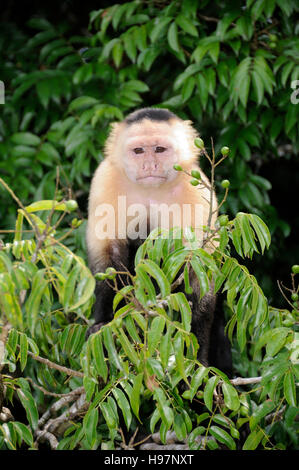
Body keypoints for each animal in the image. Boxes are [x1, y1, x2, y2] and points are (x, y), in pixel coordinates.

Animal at [86, 107, 232, 370]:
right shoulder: (105, 180)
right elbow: (109, 255)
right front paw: (103, 323)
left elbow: (196, 272)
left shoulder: (196, 191)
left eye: (160, 149)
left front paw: (195, 354)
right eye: (139, 151)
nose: (149, 165)